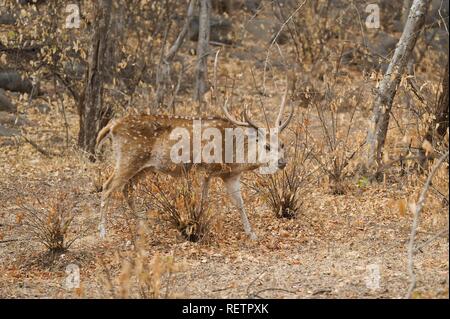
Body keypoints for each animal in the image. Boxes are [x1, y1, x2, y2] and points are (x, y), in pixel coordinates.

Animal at [96, 79, 294, 240]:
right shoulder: (202, 169)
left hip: (145, 167)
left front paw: (251, 234)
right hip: (129, 157)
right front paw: (197, 229)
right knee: (107, 186)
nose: (282, 162)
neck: (233, 154)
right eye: (267, 146)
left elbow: (239, 203)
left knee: (127, 189)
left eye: (282, 144)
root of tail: (112, 126)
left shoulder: (230, 176)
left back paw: (145, 227)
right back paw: (103, 234)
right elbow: (202, 200)